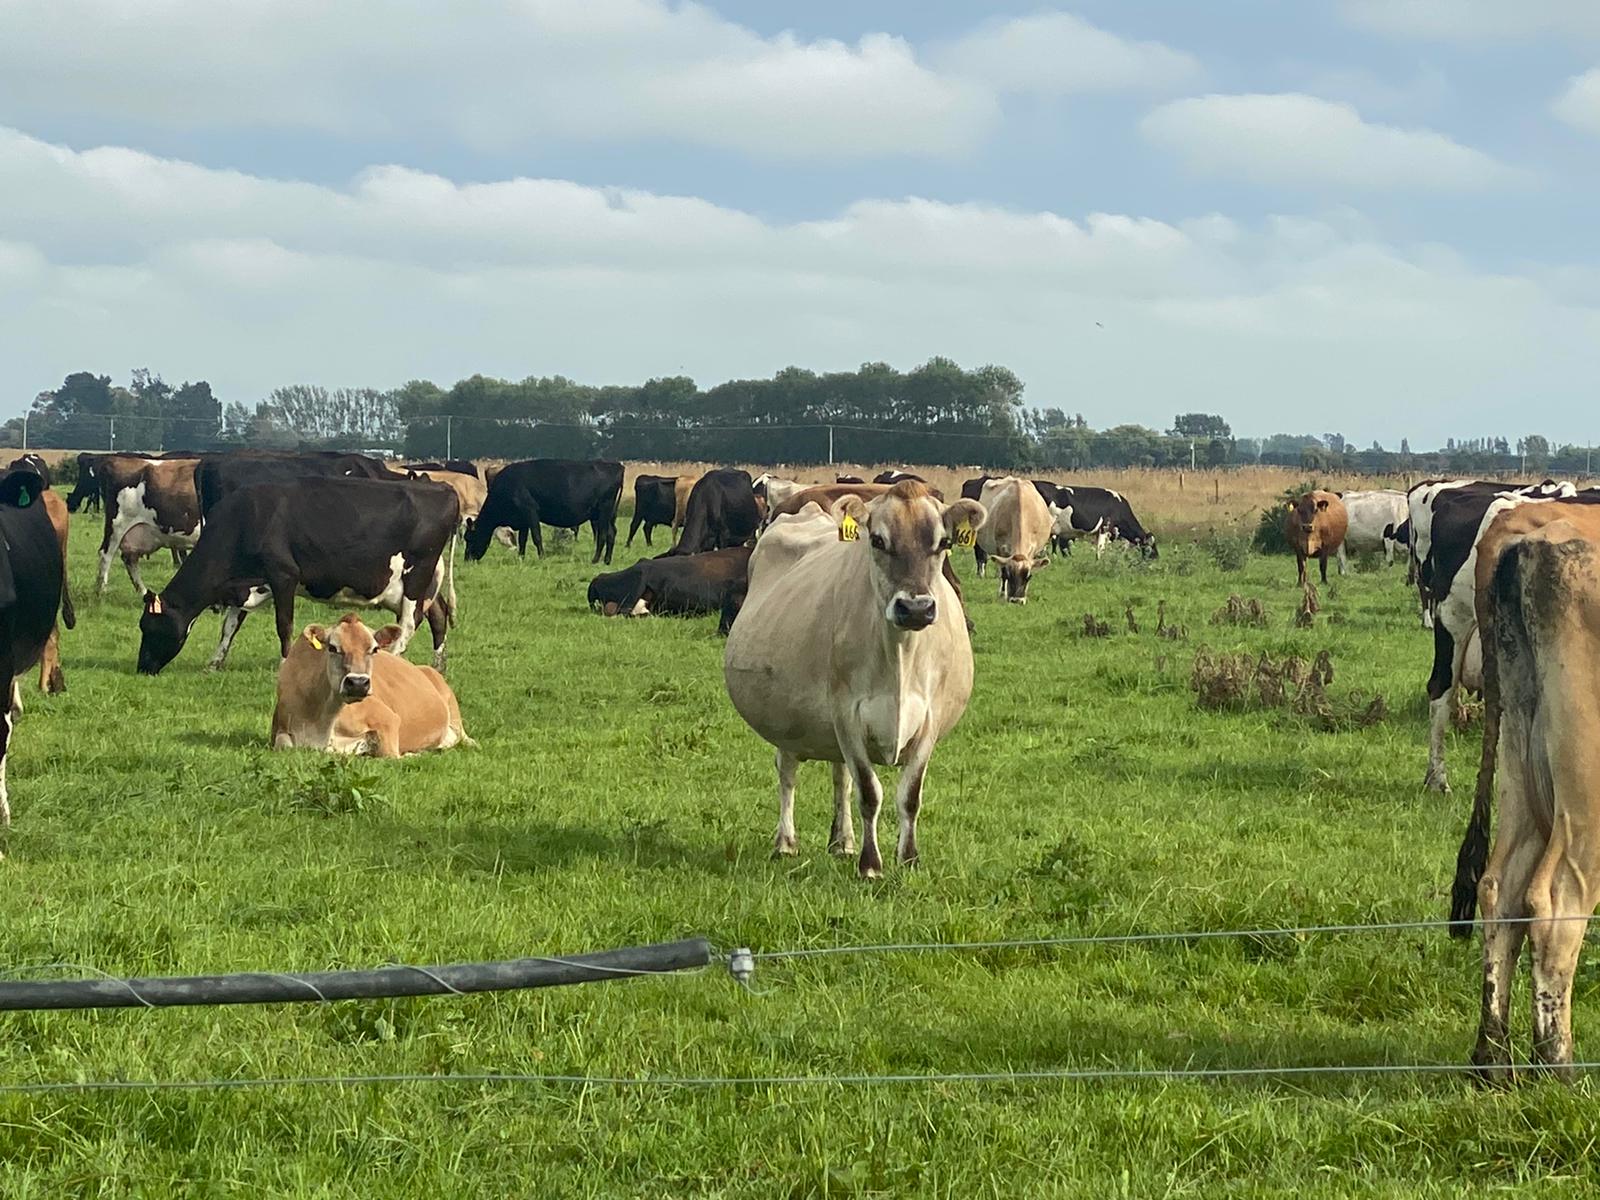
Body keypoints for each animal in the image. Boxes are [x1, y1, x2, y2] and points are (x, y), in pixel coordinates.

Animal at [136, 476, 458, 675]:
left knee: (408, 625)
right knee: (438, 615)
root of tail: (444, 488)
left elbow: (284, 625)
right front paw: (215, 662)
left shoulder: (283, 575)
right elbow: (229, 626)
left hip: (416, 577)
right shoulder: (248, 585)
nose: (142, 668)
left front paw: (285, 662)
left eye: (150, 627)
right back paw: (438, 666)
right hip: (425, 582)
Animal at [271, 613, 471, 757]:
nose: (358, 683)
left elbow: (390, 755)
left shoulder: (388, 719)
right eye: (333, 647)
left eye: (374, 649)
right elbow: (284, 744)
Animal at [462, 459, 623, 564]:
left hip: (603, 511)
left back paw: (595, 560)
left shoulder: (530, 511)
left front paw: (542, 557)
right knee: (611, 533)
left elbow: (536, 537)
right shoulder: (523, 519)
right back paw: (607, 560)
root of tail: (615, 466)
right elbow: (523, 540)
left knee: (603, 534)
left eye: (469, 538)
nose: (467, 559)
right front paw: (521, 558)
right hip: (608, 514)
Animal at [724, 480, 986, 876]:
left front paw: (908, 858)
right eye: (877, 540)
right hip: (785, 717)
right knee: (788, 772)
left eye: (944, 542)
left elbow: (909, 795)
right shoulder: (846, 715)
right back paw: (786, 842)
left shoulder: (930, 720)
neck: (900, 656)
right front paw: (871, 865)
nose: (916, 608)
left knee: (839, 776)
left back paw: (842, 841)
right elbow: (869, 791)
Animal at [1440, 499, 1600, 1080]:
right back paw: (1557, 1064)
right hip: (1583, 786)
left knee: (1500, 886)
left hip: (1519, 755)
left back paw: (1492, 1058)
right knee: (1555, 900)